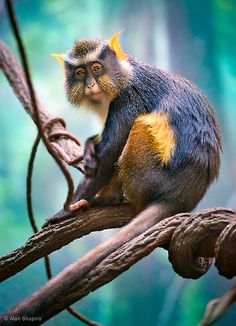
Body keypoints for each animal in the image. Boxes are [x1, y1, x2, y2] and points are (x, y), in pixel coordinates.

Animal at [44, 30, 221, 258]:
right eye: (81, 73)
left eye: (97, 68)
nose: (90, 85)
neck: (123, 75)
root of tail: (181, 198)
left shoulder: (128, 98)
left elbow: (109, 153)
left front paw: (64, 212)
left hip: (148, 180)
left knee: (140, 126)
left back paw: (109, 199)